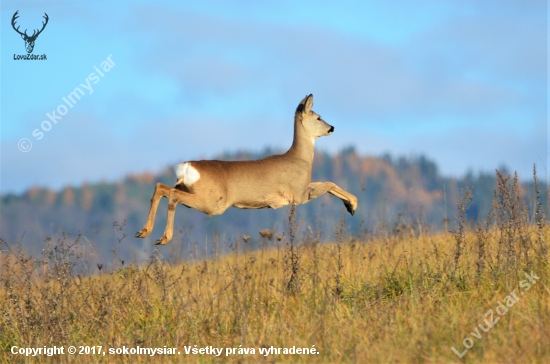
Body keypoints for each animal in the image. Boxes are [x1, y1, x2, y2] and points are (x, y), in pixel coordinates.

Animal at [136, 95, 360, 246]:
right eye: (319, 117)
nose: (332, 128)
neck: (300, 159)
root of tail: (187, 167)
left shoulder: (302, 190)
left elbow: (329, 184)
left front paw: (351, 205)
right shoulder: (299, 194)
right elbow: (329, 183)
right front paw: (353, 205)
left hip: (191, 191)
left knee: (161, 187)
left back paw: (144, 232)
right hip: (212, 202)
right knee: (172, 195)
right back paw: (164, 238)